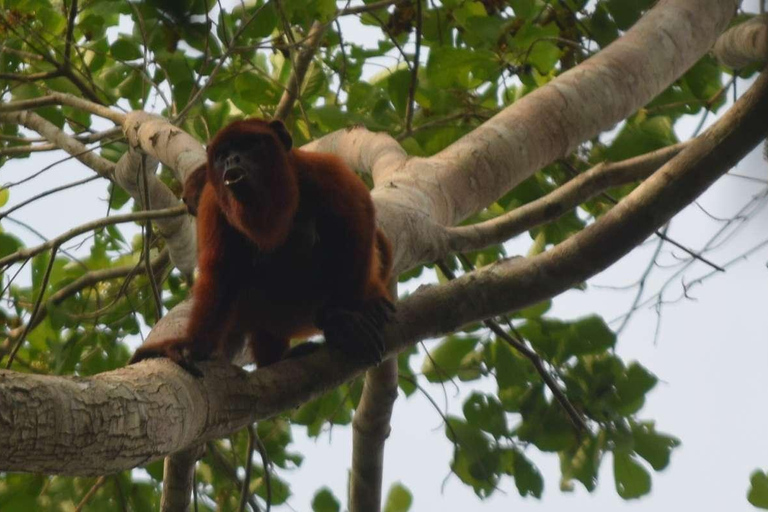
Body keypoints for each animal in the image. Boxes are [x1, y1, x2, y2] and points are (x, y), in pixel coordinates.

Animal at [129, 118, 392, 370]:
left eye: (248, 145)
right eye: (222, 154)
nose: (232, 159)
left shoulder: (323, 171)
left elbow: (358, 223)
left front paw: (343, 319)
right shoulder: (214, 205)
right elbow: (220, 274)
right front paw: (191, 346)